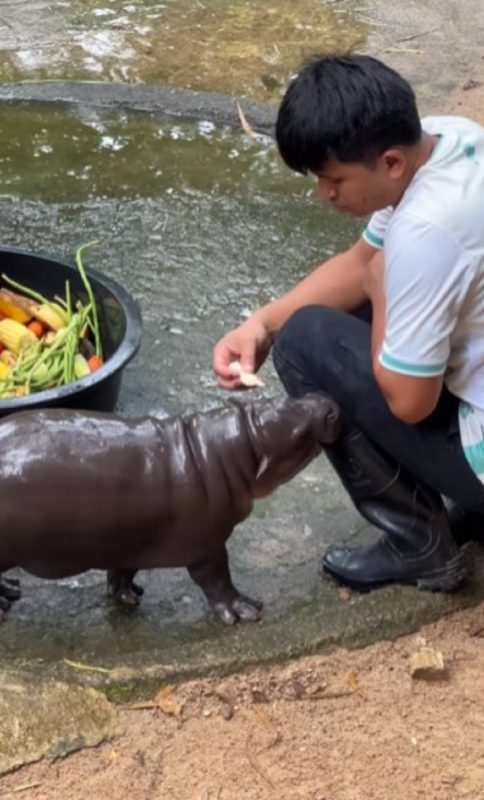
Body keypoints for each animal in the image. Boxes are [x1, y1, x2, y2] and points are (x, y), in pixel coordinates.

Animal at [0, 394, 340, 624]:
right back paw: (6, 600)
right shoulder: (207, 545)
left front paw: (129, 596)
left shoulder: (129, 540)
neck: (237, 446)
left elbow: (122, 572)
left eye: (280, 397)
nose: (329, 403)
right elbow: (218, 580)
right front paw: (245, 610)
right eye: (298, 439)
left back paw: (11, 591)